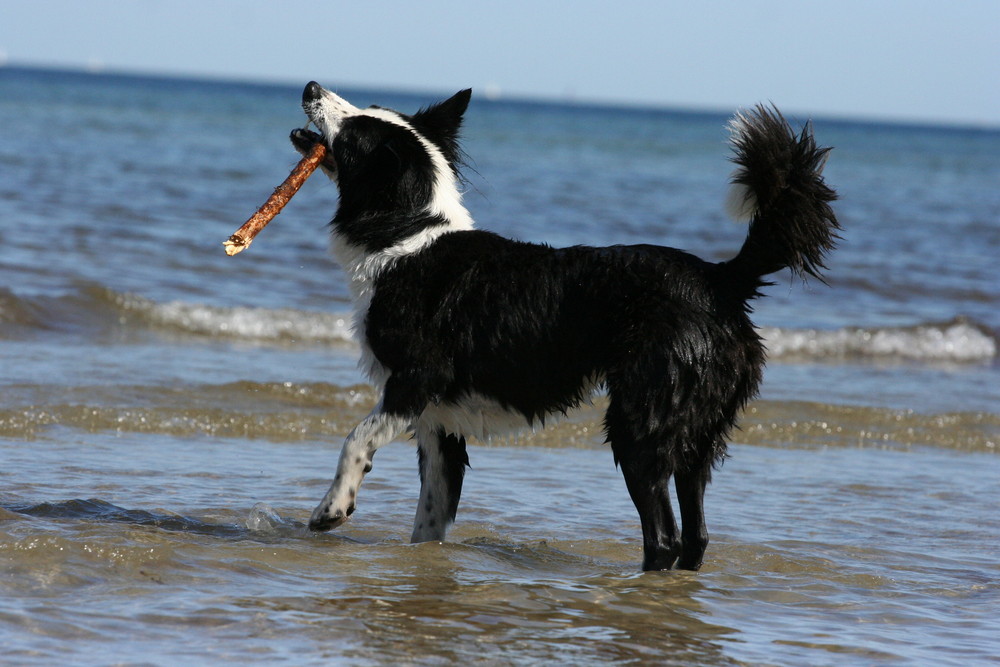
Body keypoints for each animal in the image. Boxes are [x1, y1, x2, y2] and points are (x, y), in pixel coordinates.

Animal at [290, 78, 836, 568]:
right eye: (369, 106)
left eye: (355, 129)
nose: (311, 86)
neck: (409, 234)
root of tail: (719, 279)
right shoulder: (438, 423)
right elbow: (430, 516)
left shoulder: (416, 381)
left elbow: (355, 437)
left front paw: (330, 510)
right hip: (696, 436)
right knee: (697, 536)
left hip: (639, 424)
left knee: (664, 538)